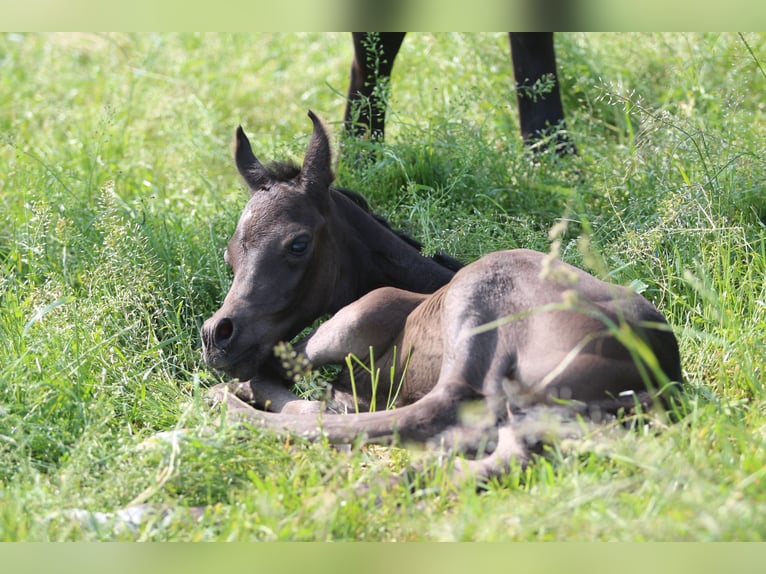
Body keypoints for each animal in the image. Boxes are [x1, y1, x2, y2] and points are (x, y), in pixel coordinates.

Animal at [201, 111, 682, 481]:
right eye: (229, 255)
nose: (217, 336)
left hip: (471, 314)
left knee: (429, 415)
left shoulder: (361, 315)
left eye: (297, 244)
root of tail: (657, 378)